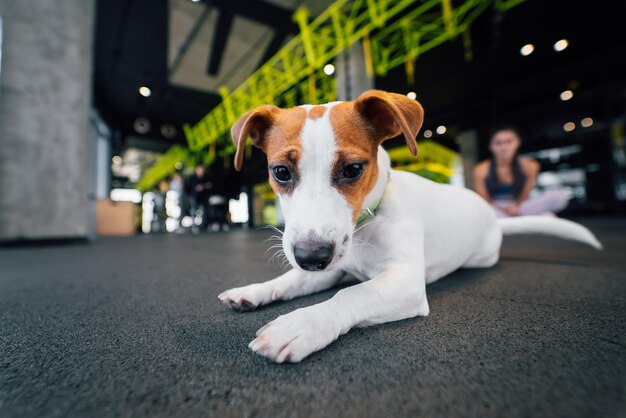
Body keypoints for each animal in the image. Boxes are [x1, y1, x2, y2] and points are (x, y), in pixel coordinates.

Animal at [217, 90, 604, 362]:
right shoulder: (332, 268)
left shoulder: (404, 283)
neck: (367, 225)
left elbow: (352, 294)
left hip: (481, 256)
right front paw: (254, 291)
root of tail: (492, 217)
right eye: (281, 172)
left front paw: (301, 325)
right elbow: (291, 280)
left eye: (353, 169)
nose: (311, 257)